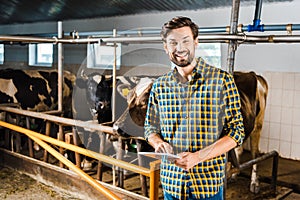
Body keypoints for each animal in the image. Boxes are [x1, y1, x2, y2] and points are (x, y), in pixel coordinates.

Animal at [112, 70, 270, 194]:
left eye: (145, 101)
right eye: (128, 98)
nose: (116, 127)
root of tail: (250, 73)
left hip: (258, 123)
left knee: (255, 153)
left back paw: (254, 183)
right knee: (239, 149)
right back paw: (234, 175)